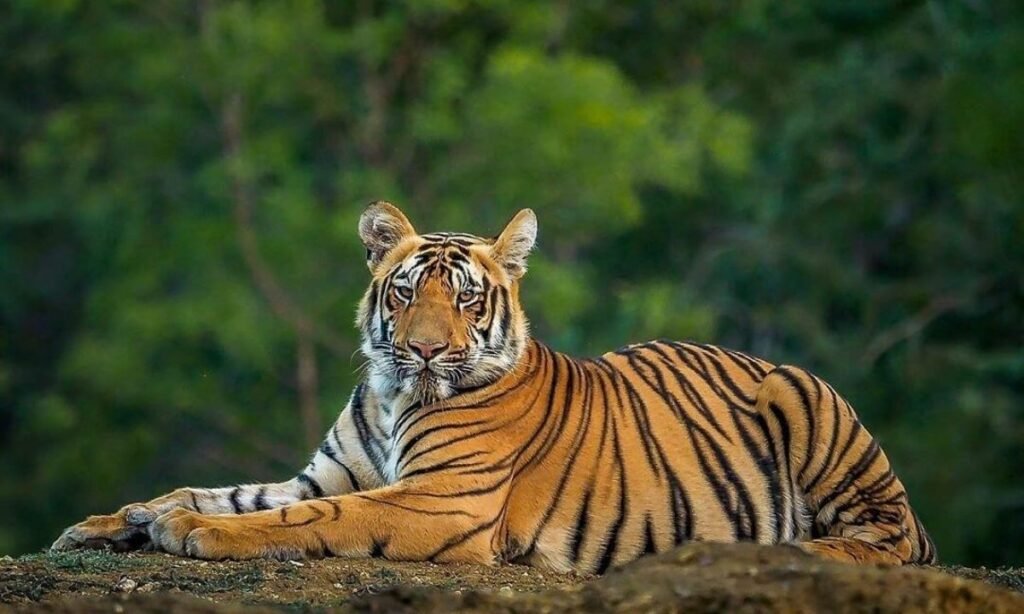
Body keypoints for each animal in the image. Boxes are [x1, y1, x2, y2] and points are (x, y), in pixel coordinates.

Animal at [52, 201, 936, 571]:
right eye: (407, 292)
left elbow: (302, 518)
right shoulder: (327, 472)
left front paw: (190, 533)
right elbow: (220, 490)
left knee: (887, 540)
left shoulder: (440, 500)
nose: (424, 351)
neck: (391, 394)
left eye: (468, 299)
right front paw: (116, 521)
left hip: (807, 401)